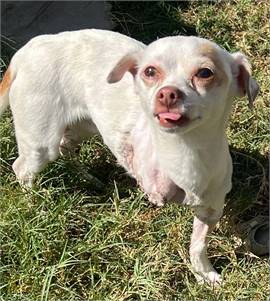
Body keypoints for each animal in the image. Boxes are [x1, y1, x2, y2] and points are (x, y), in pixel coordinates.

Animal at [0, 29, 260, 284]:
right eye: (150, 71)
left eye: (205, 73)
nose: (167, 93)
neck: (185, 150)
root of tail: (26, 50)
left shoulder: (211, 210)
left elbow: (198, 245)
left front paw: (204, 274)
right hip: (42, 142)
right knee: (22, 168)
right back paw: (34, 202)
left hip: (83, 128)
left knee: (66, 148)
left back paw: (89, 179)